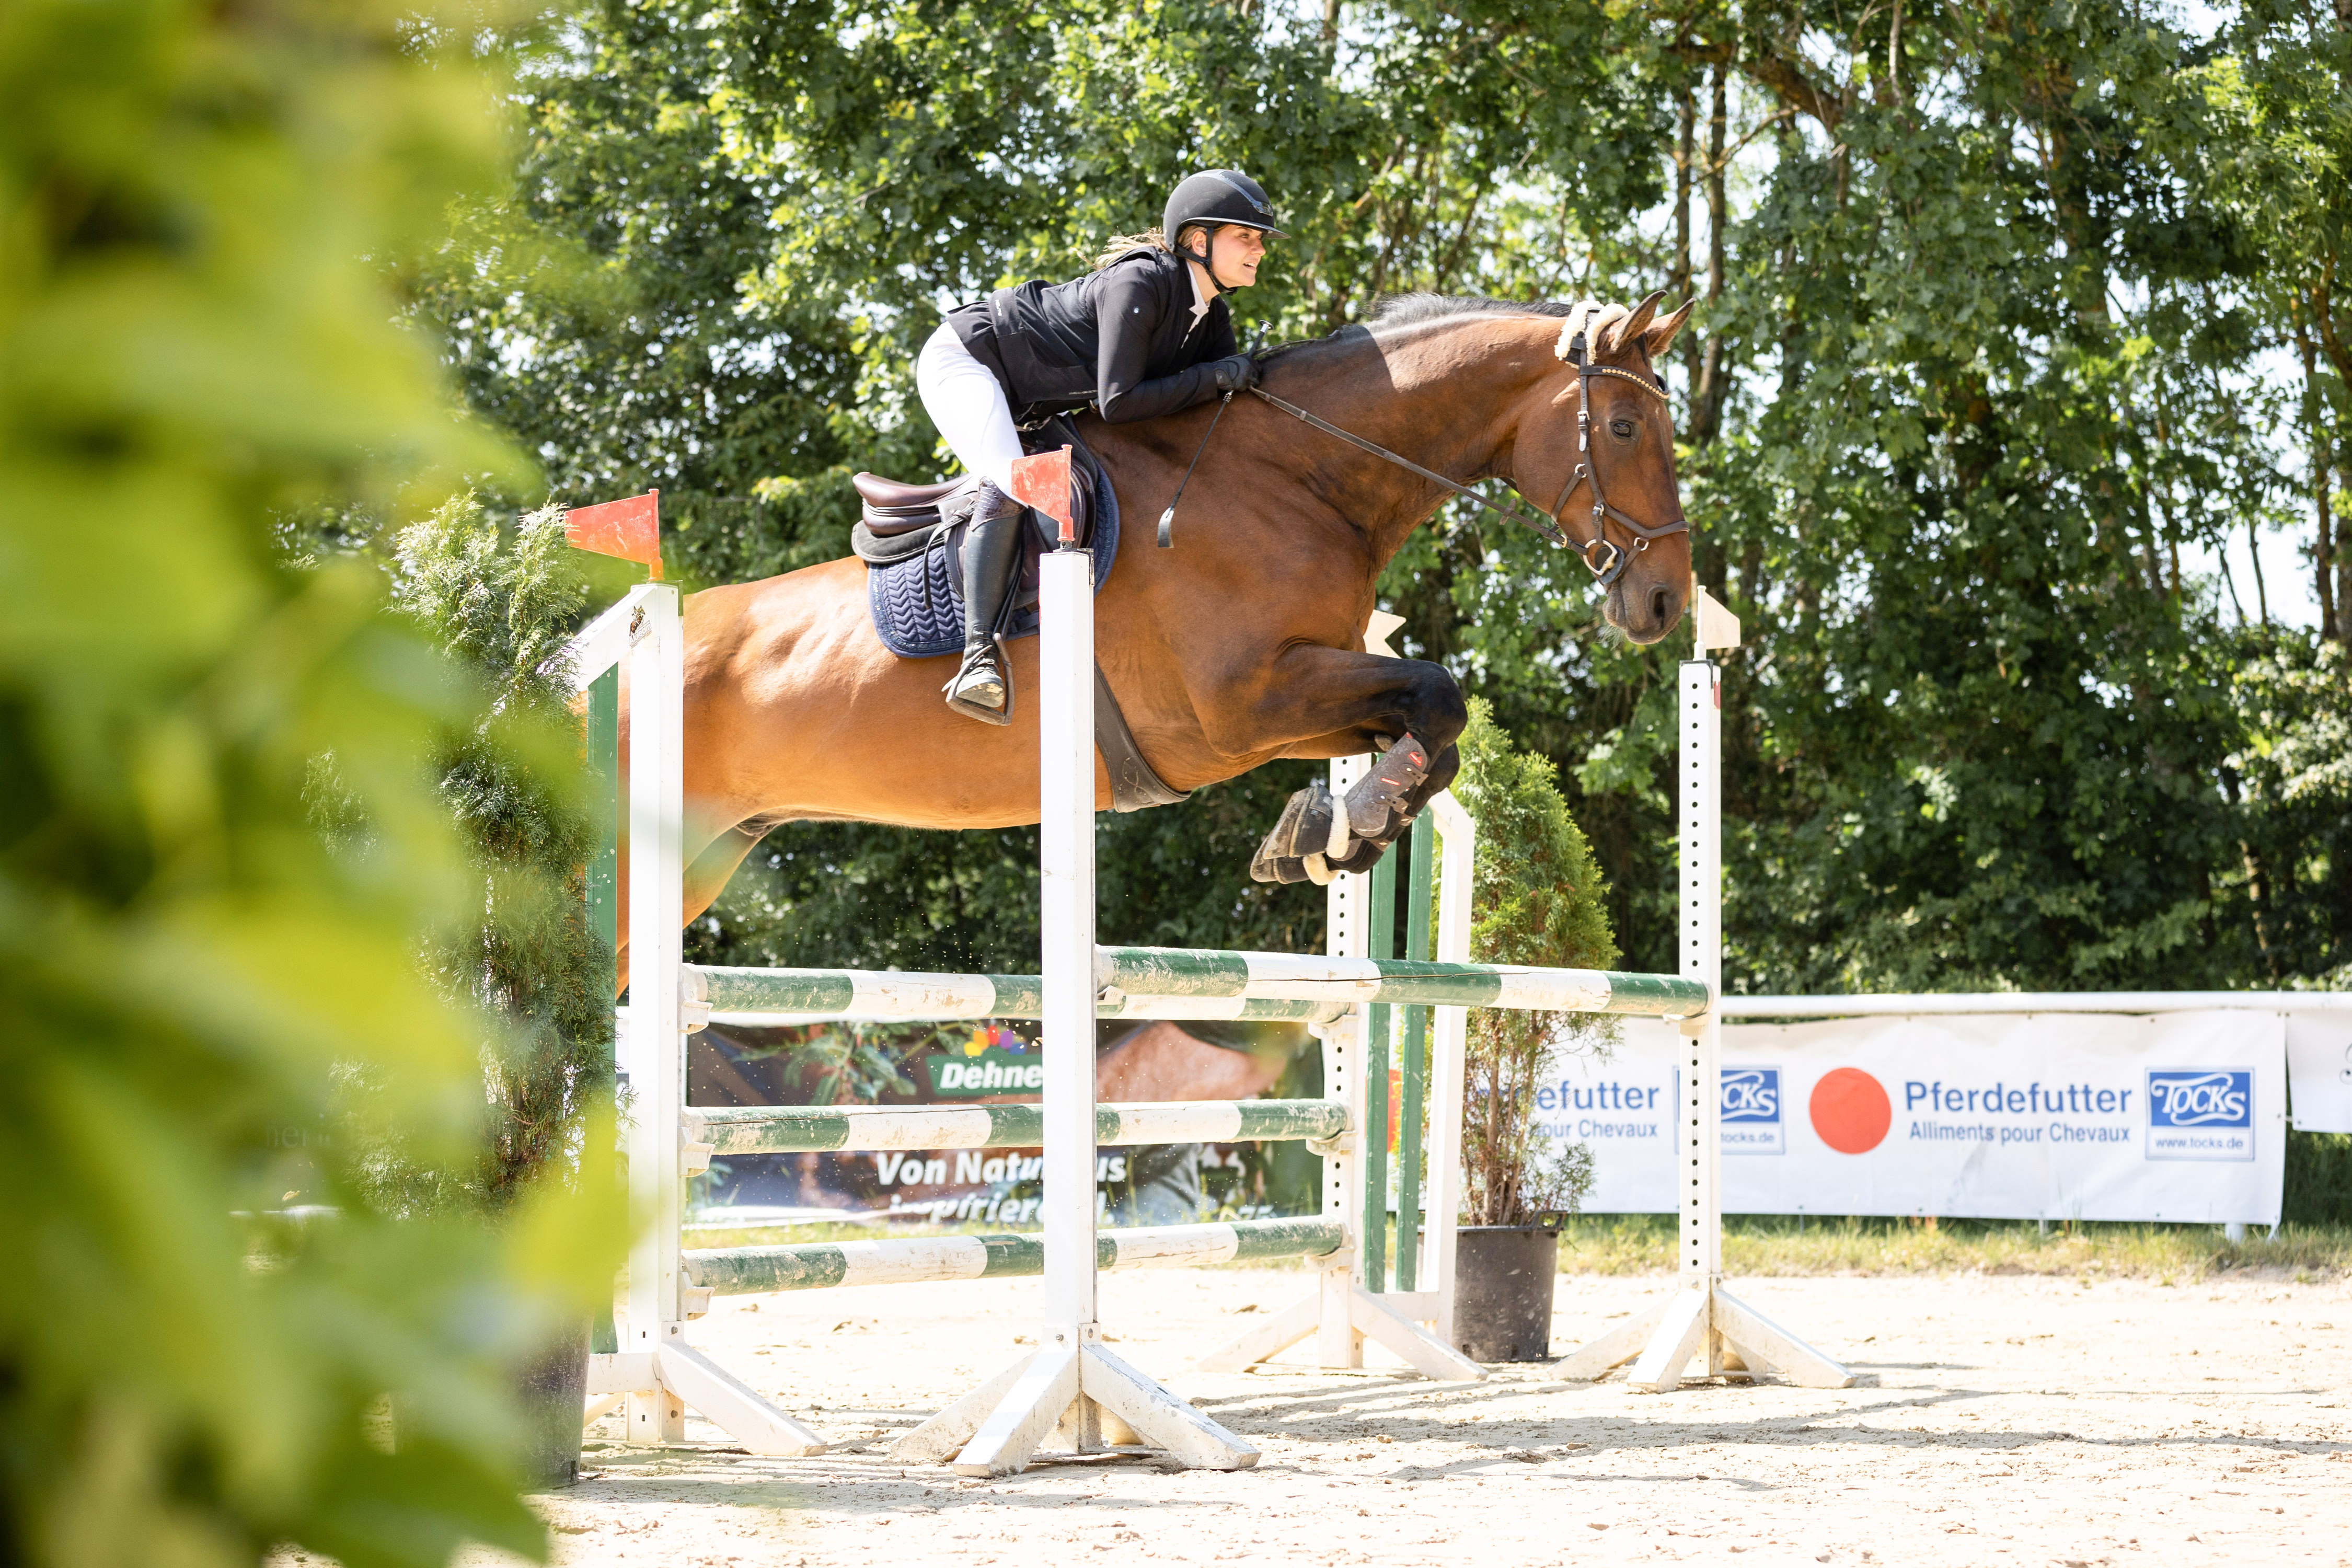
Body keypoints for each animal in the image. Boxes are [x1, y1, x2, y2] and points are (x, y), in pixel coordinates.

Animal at [615, 291, 1695, 986]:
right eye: (1628, 428)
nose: (1664, 604)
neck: (1296, 476)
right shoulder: (1242, 707)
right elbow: (1439, 692)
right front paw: (1333, 830)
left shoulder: (1295, 701)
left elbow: (1434, 729)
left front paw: (1329, 834)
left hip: (703, 861)